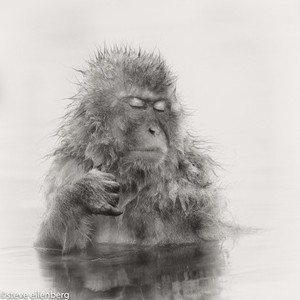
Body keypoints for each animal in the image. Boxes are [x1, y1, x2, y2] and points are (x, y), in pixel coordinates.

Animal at [35, 46, 223, 253]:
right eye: (137, 105)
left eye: (160, 109)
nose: (154, 130)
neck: (127, 178)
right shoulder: (68, 168)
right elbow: (48, 246)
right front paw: (80, 194)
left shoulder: (187, 189)